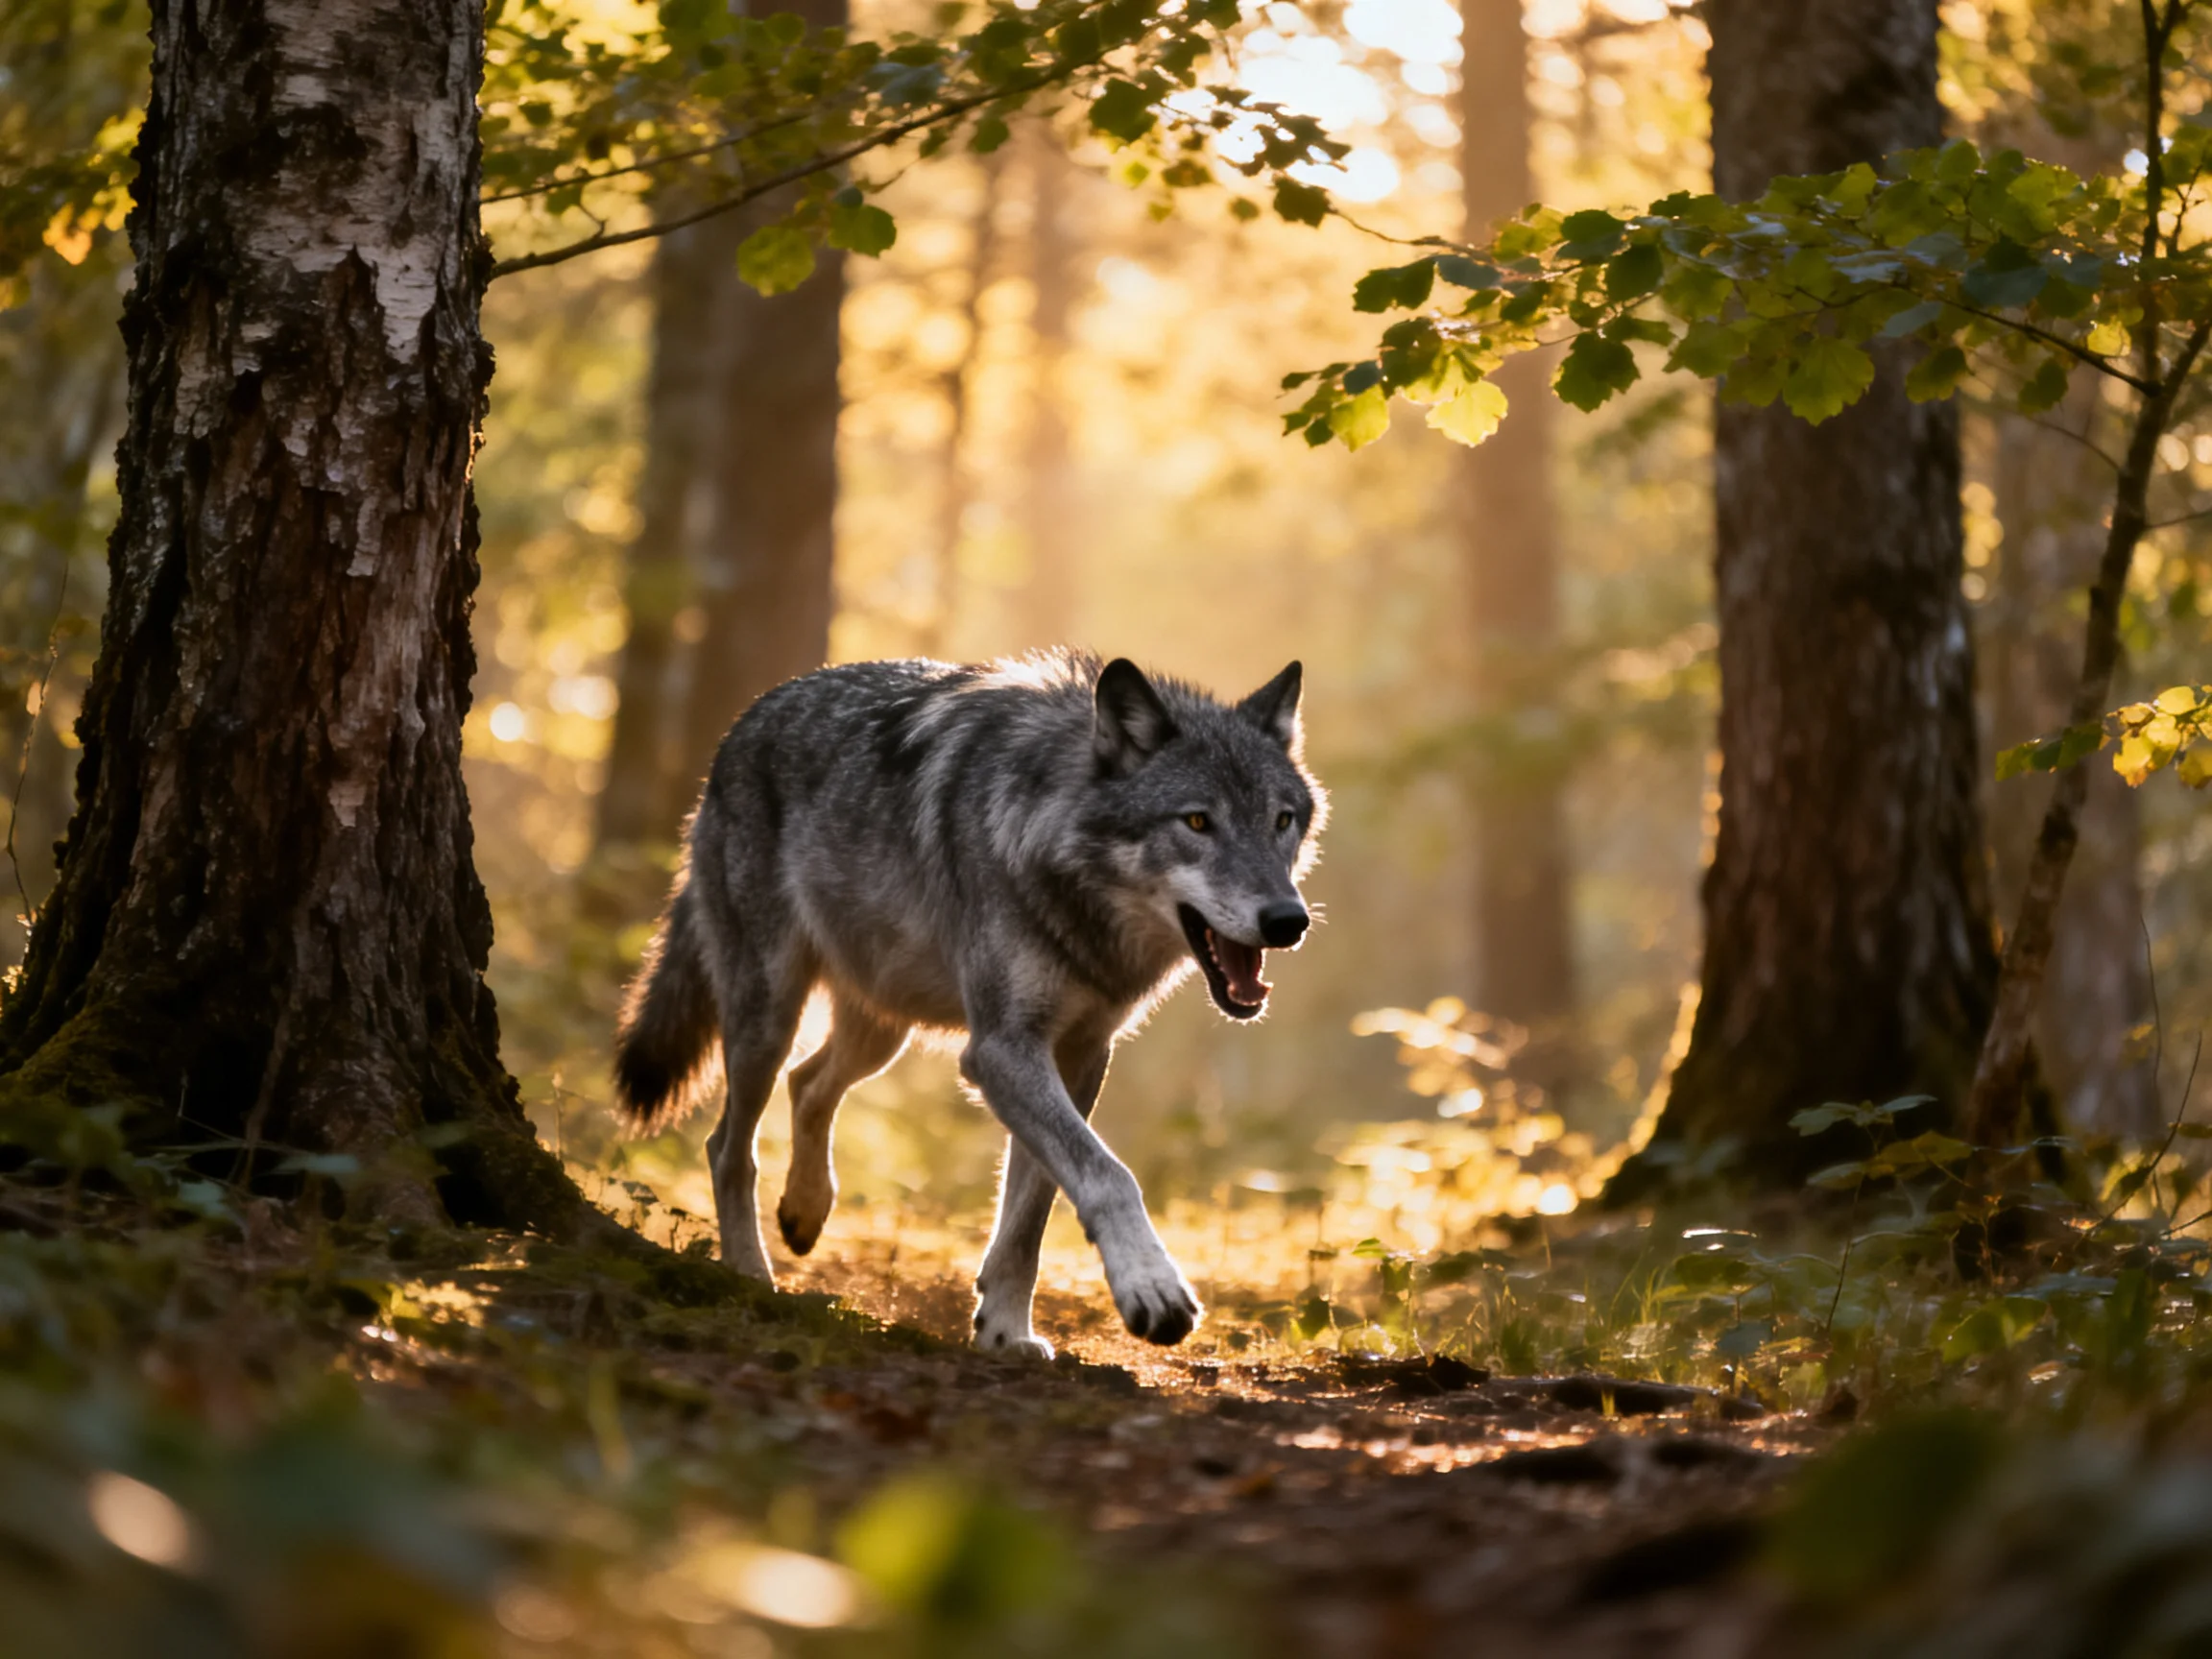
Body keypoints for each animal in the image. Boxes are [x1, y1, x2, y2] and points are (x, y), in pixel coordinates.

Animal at [610, 649, 1326, 1354]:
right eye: (1198, 821)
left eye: (1281, 820)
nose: (1288, 921)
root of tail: (740, 727)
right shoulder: (1001, 1051)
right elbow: (1107, 1174)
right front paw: (1152, 1291)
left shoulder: (1081, 1053)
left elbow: (1031, 1213)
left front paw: (1005, 1330)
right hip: (769, 1015)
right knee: (728, 1145)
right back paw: (751, 1274)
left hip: (883, 1028)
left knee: (808, 1083)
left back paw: (806, 1211)